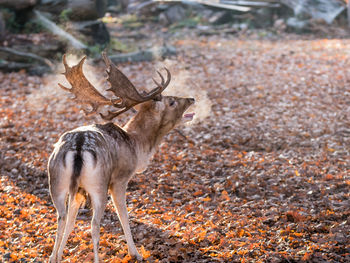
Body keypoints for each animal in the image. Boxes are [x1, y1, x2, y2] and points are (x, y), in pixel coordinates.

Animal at [46, 52, 196, 262]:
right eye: (172, 101)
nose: (191, 98)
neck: (137, 147)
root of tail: (78, 147)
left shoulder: (79, 191)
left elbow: (71, 221)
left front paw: (59, 255)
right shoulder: (120, 179)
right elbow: (123, 216)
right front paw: (136, 253)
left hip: (57, 182)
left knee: (61, 218)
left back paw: (53, 256)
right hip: (98, 184)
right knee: (94, 224)